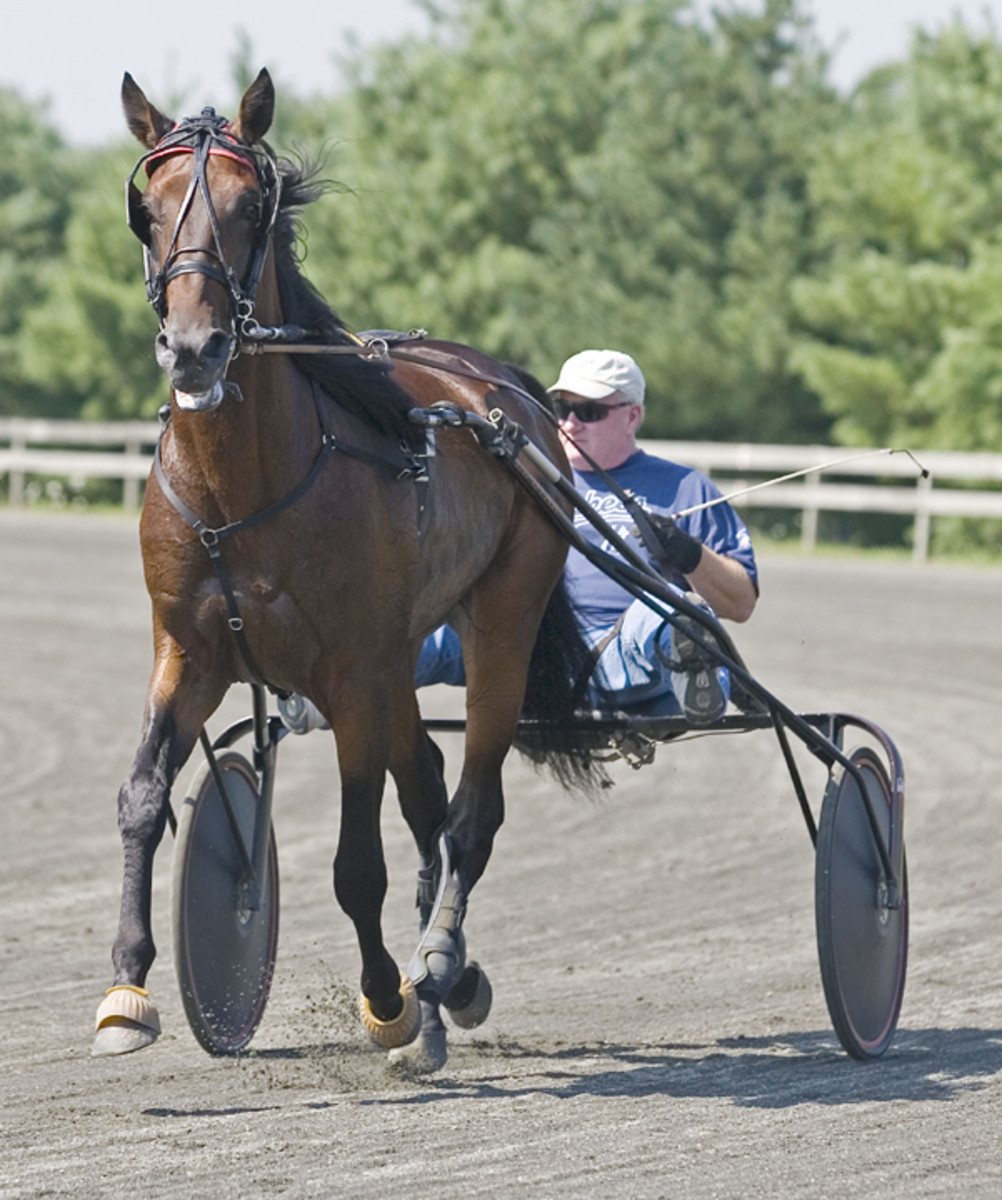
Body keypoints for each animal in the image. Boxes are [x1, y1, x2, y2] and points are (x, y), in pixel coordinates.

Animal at [92, 68, 599, 1072]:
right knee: (430, 786)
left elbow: (356, 864)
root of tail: (503, 390)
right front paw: (128, 988)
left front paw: (387, 1001)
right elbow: (141, 797)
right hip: (401, 649)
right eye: (149, 209)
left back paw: (435, 970)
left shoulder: (351, 671)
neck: (242, 486)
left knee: (470, 809)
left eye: (249, 207)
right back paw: (449, 983)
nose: (195, 348)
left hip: (499, 617)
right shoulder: (190, 651)